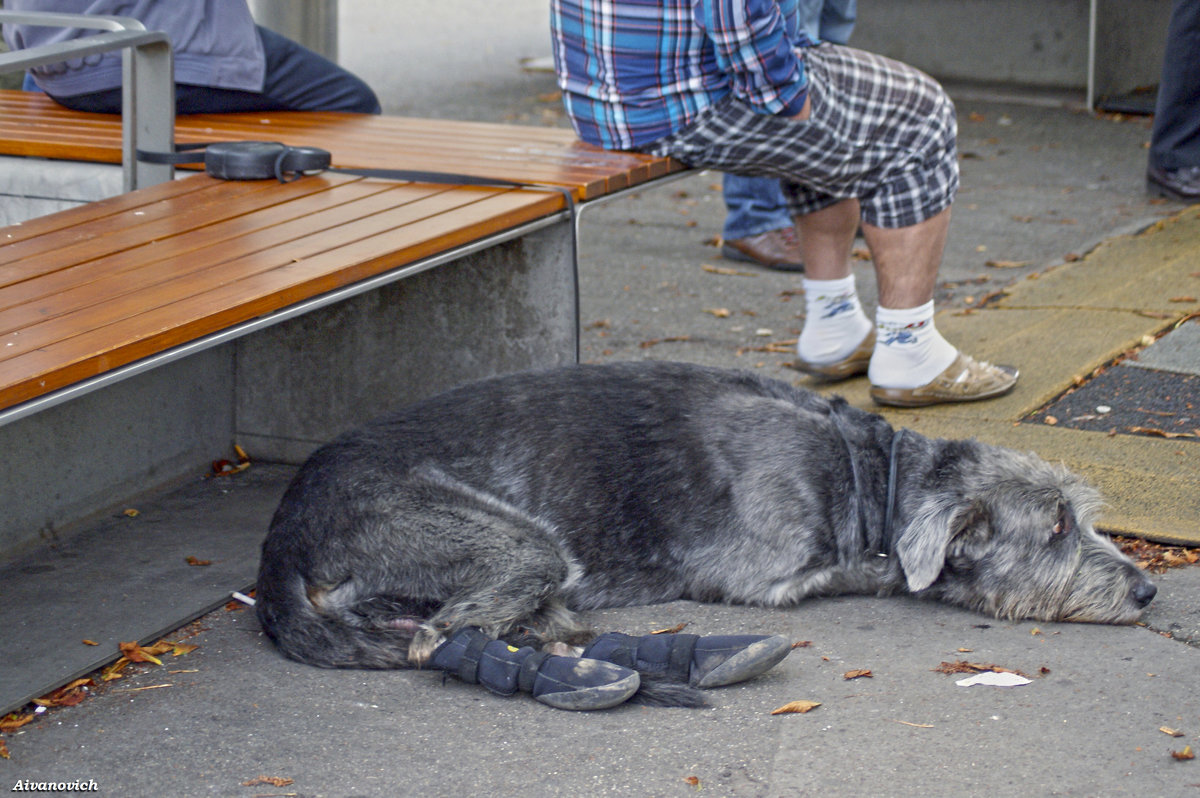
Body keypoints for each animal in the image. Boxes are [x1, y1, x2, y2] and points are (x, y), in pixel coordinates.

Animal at [258, 364, 1156, 667]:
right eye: (1055, 529)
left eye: (1086, 517)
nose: (1149, 591)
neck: (869, 475)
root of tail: (287, 526)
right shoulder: (765, 575)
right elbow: (868, 571)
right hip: (507, 538)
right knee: (445, 624)